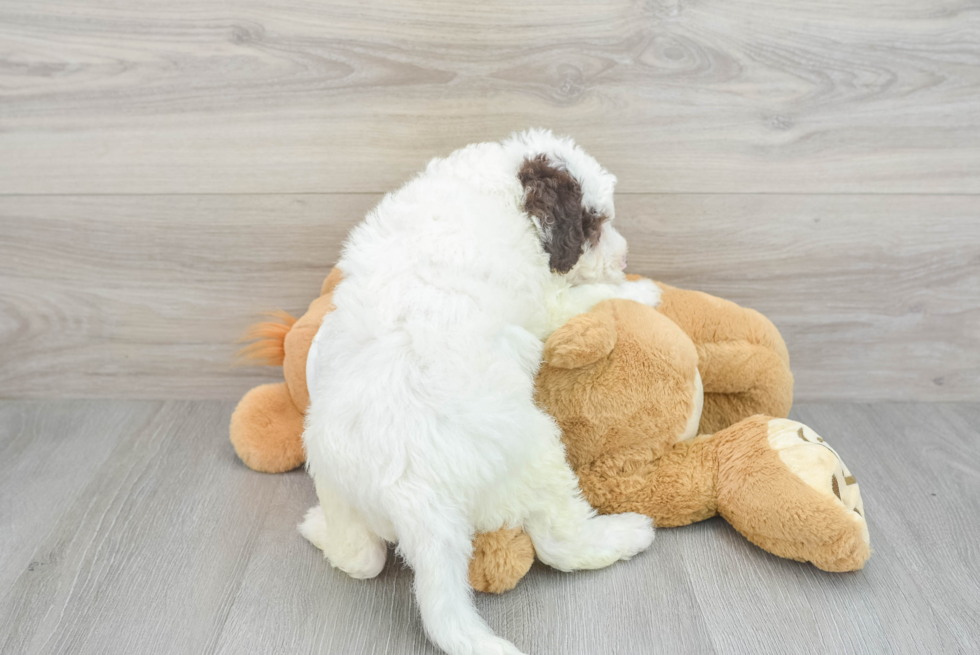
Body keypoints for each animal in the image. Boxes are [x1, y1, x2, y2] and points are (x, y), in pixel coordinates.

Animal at [302, 129, 664, 655]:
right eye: (593, 225)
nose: (624, 259)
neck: (502, 187)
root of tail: (413, 495)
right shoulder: (546, 302)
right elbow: (585, 298)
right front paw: (641, 291)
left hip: (334, 482)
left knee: (361, 558)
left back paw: (316, 529)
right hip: (537, 456)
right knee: (559, 542)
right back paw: (625, 534)